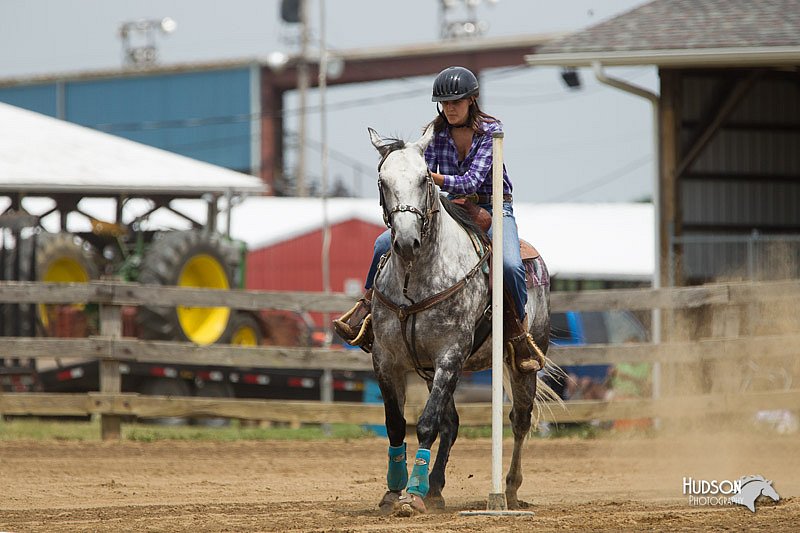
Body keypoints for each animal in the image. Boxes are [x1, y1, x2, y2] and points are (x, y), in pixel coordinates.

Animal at [368, 127, 552, 512]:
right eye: (383, 181)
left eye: (424, 179)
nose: (406, 241)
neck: (416, 281)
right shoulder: (387, 359)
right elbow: (396, 424)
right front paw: (394, 490)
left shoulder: (450, 355)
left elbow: (426, 424)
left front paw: (412, 495)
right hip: (429, 371)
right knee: (451, 423)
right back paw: (435, 488)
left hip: (521, 364)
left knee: (520, 420)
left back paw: (509, 491)